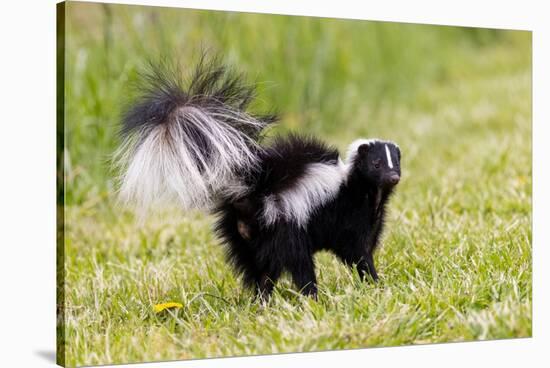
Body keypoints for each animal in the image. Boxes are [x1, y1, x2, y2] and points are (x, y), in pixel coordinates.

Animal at [117, 57, 402, 300]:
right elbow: (357, 254)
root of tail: (254, 191)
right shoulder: (347, 218)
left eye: (396, 162)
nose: (393, 177)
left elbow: (364, 248)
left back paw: (262, 299)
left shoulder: (370, 220)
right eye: (376, 164)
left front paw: (373, 283)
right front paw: (375, 282)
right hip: (283, 225)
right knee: (298, 264)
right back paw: (311, 296)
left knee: (259, 269)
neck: (363, 191)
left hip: (246, 236)